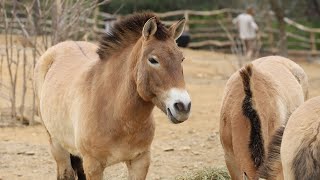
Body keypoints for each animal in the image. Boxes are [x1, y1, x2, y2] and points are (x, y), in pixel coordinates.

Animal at [33, 13, 191, 180]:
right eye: (153, 60)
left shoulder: (140, 161)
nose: (183, 106)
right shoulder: (93, 165)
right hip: (56, 145)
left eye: (181, 59)